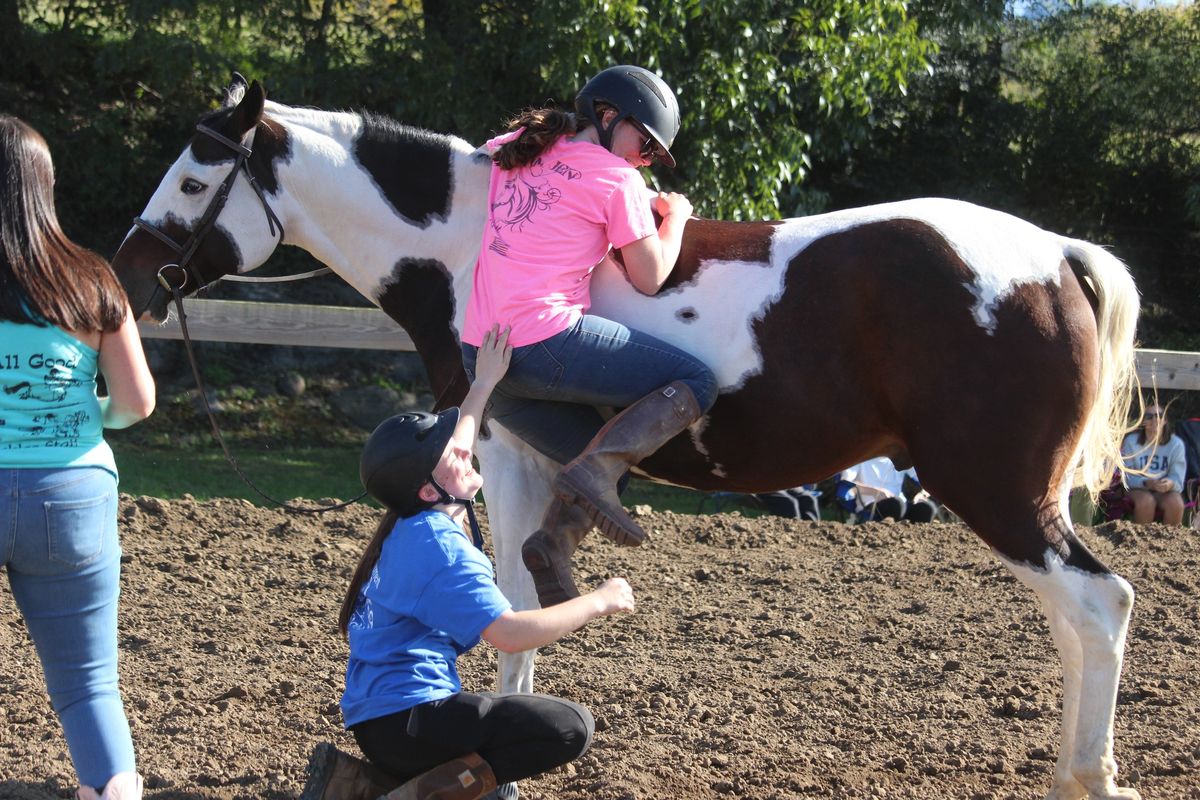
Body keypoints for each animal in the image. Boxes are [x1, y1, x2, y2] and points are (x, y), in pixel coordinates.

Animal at [112, 76, 1142, 800]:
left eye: (195, 178)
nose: (127, 279)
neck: (470, 246)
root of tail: (1054, 255)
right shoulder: (529, 459)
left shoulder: (502, 454)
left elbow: (514, 595)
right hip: (1019, 498)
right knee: (1075, 622)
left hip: (994, 490)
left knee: (1099, 606)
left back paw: (1089, 776)